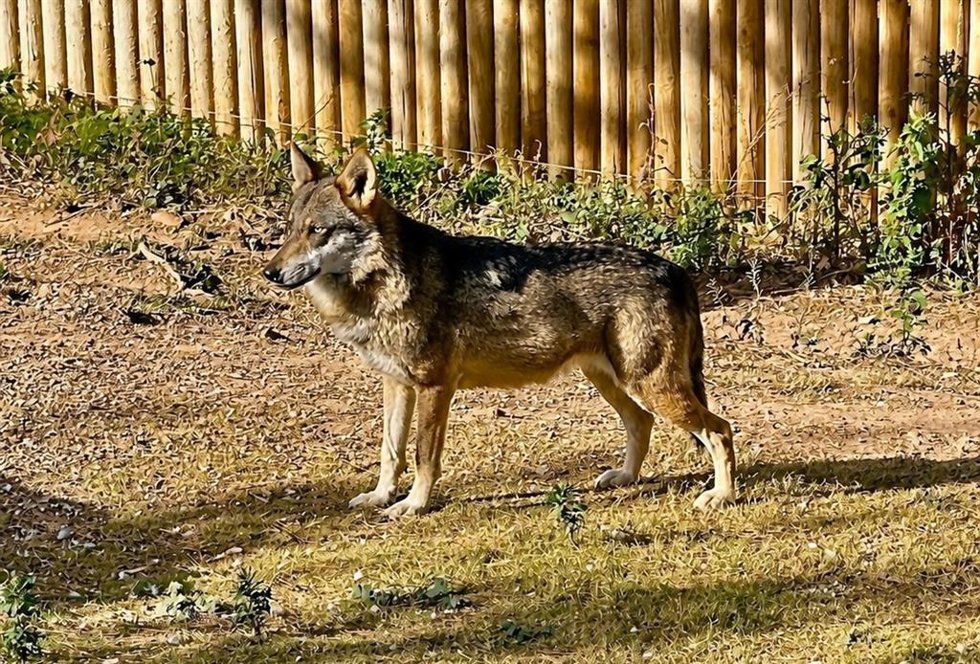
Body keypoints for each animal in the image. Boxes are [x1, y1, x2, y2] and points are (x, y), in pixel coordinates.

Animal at [262, 145, 736, 518]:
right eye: (289, 230)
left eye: (317, 231)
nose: (270, 272)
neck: (383, 282)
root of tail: (676, 270)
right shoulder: (396, 385)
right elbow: (390, 452)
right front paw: (381, 497)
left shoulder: (435, 387)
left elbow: (422, 455)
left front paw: (413, 505)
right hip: (612, 382)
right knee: (642, 423)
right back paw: (625, 477)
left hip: (649, 386)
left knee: (720, 430)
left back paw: (721, 497)